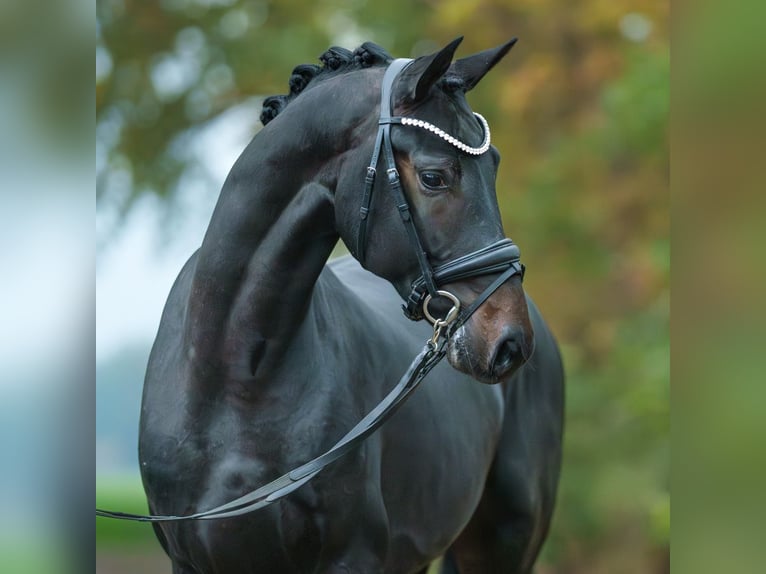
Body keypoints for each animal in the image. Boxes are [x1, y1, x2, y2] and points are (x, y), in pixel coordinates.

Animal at [140, 38, 564, 572]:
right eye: (434, 176)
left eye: (495, 166)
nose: (509, 342)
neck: (235, 378)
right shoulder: (191, 561)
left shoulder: (352, 556)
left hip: (507, 542)